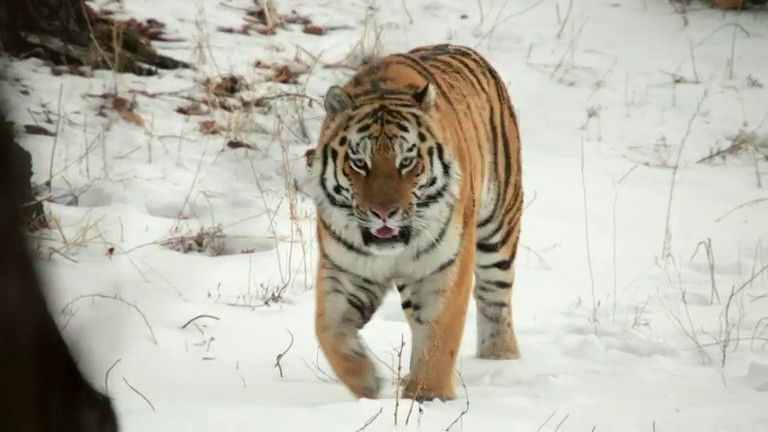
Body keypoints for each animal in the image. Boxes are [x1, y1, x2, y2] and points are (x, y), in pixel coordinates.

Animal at [302, 44, 523, 401]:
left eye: (406, 161)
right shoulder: (346, 268)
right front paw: (366, 383)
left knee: (495, 296)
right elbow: (328, 328)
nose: (383, 212)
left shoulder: (444, 266)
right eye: (359, 162)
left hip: (499, 227)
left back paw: (500, 356)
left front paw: (428, 395)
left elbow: (439, 333)